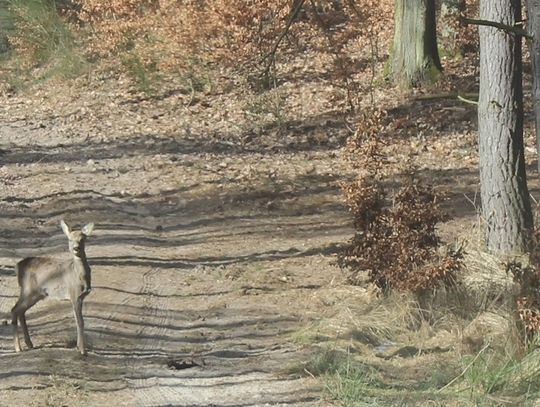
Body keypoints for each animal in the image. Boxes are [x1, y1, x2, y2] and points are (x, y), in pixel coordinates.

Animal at [11, 222, 94, 356]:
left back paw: (29, 344)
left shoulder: (81, 297)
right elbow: (80, 321)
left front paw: (78, 347)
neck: (79, 275)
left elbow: (78, 320)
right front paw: (82, 350)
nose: (76, 248)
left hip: (35, 294)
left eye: (83, 239)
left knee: (20, 311)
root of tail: (17, 267)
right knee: (14, 310)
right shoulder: (74, 294)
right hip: (29, 290)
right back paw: (18, 348)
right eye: (70, 239)